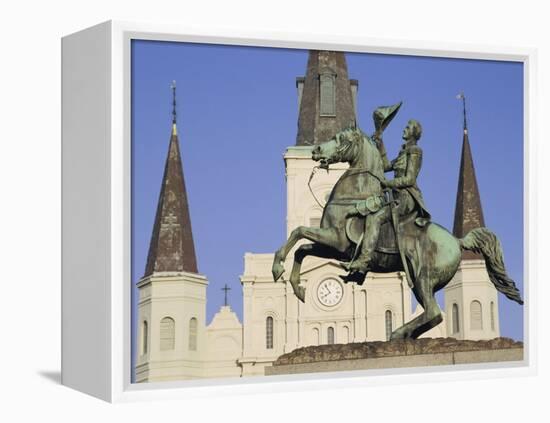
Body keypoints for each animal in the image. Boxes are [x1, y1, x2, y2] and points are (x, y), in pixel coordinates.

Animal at [274, 126, 524, 342]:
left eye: (340, 138)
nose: (316, 150)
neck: (352, 196)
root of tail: (457, 241)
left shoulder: (336, 241)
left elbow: (298, 233)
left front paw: (277, 267)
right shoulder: (333, 248)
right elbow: (301, 248)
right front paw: (297, 287)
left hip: (423, 278)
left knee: (433, 312)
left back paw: (396, 333)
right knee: (431, 314)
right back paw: (404, 334)